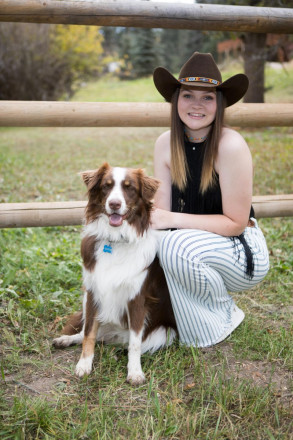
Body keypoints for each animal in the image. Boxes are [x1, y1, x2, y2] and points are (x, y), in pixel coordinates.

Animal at [52, 162, 176, 384]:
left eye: (130, 188)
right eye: (106, 186)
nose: (115, 204)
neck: (116, 239)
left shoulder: (137, 299)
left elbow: (134, 343)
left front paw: (134, 372)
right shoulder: (93, 292)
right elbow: (88, 334)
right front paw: (84, 364)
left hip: (164, 333)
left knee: (128, 342)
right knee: (87, 332)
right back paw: (65, 340)